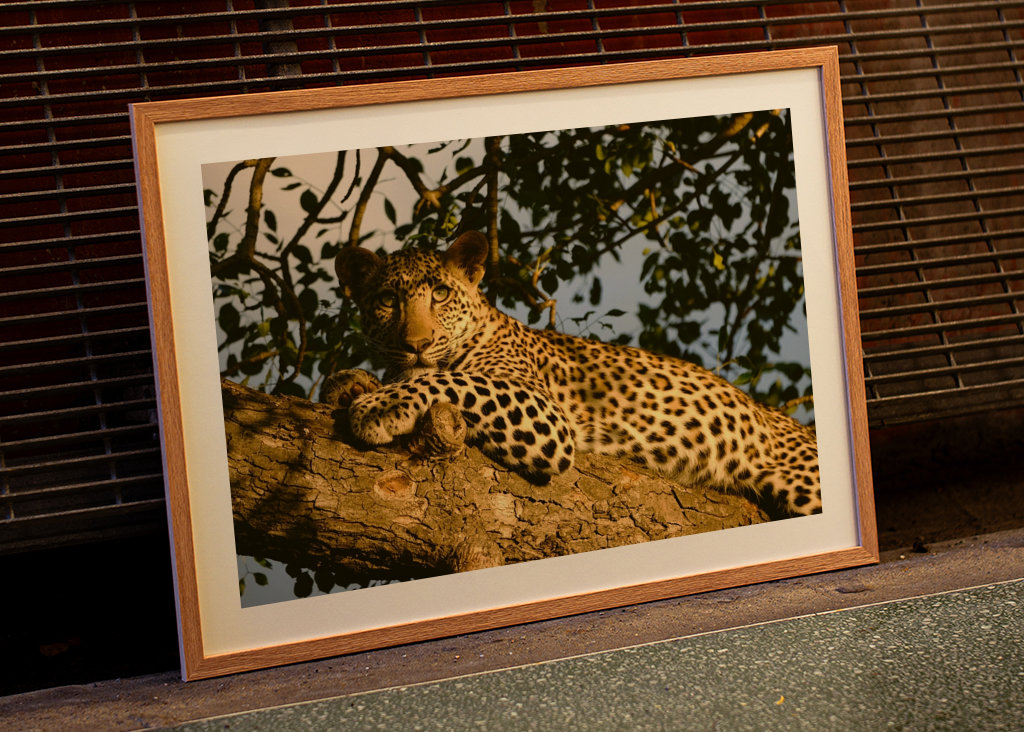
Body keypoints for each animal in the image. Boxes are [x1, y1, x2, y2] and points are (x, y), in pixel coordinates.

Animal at [327, 230, 820, 516]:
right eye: (387, 300)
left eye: (442, 294)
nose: (417, 344)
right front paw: (351, 382)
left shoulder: (545, 414)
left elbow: (452, 380)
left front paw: (377, 405)